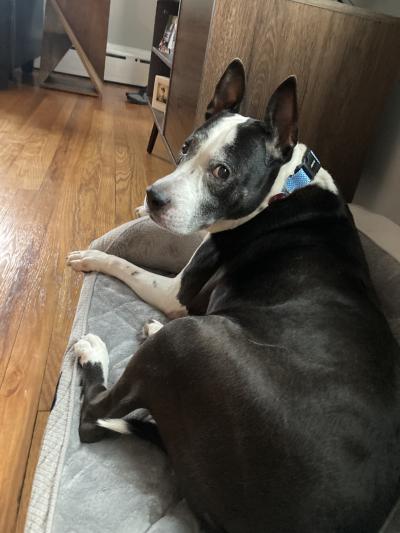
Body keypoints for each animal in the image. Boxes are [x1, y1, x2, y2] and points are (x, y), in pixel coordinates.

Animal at [67, 60, 398, 528]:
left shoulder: (177, 291)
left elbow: (125, 264)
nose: (154, 196)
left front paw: (92, 255)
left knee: (94, 417)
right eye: (185, 148)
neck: (283, 187)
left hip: (187, 339)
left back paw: (97, 351)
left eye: (222, 172)